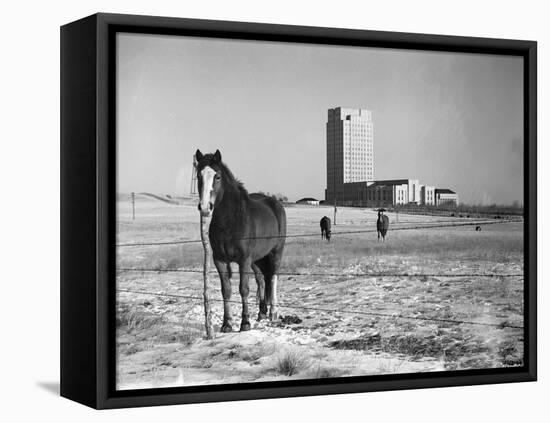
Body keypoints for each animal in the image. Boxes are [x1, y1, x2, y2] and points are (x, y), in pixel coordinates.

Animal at [195, 151, 288, 332]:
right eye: (198, 176)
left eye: (217, 176)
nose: (205, 207)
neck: (230, 221)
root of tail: (275, 203)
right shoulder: (220, 260)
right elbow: (226, 290)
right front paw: (227, 324)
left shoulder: (243, 260)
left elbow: (243, 289)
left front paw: (245, 323)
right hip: (257, 259)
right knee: (261, 280)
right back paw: (262, 313)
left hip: (276, 252)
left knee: (273, 277)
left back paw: (273, 313)